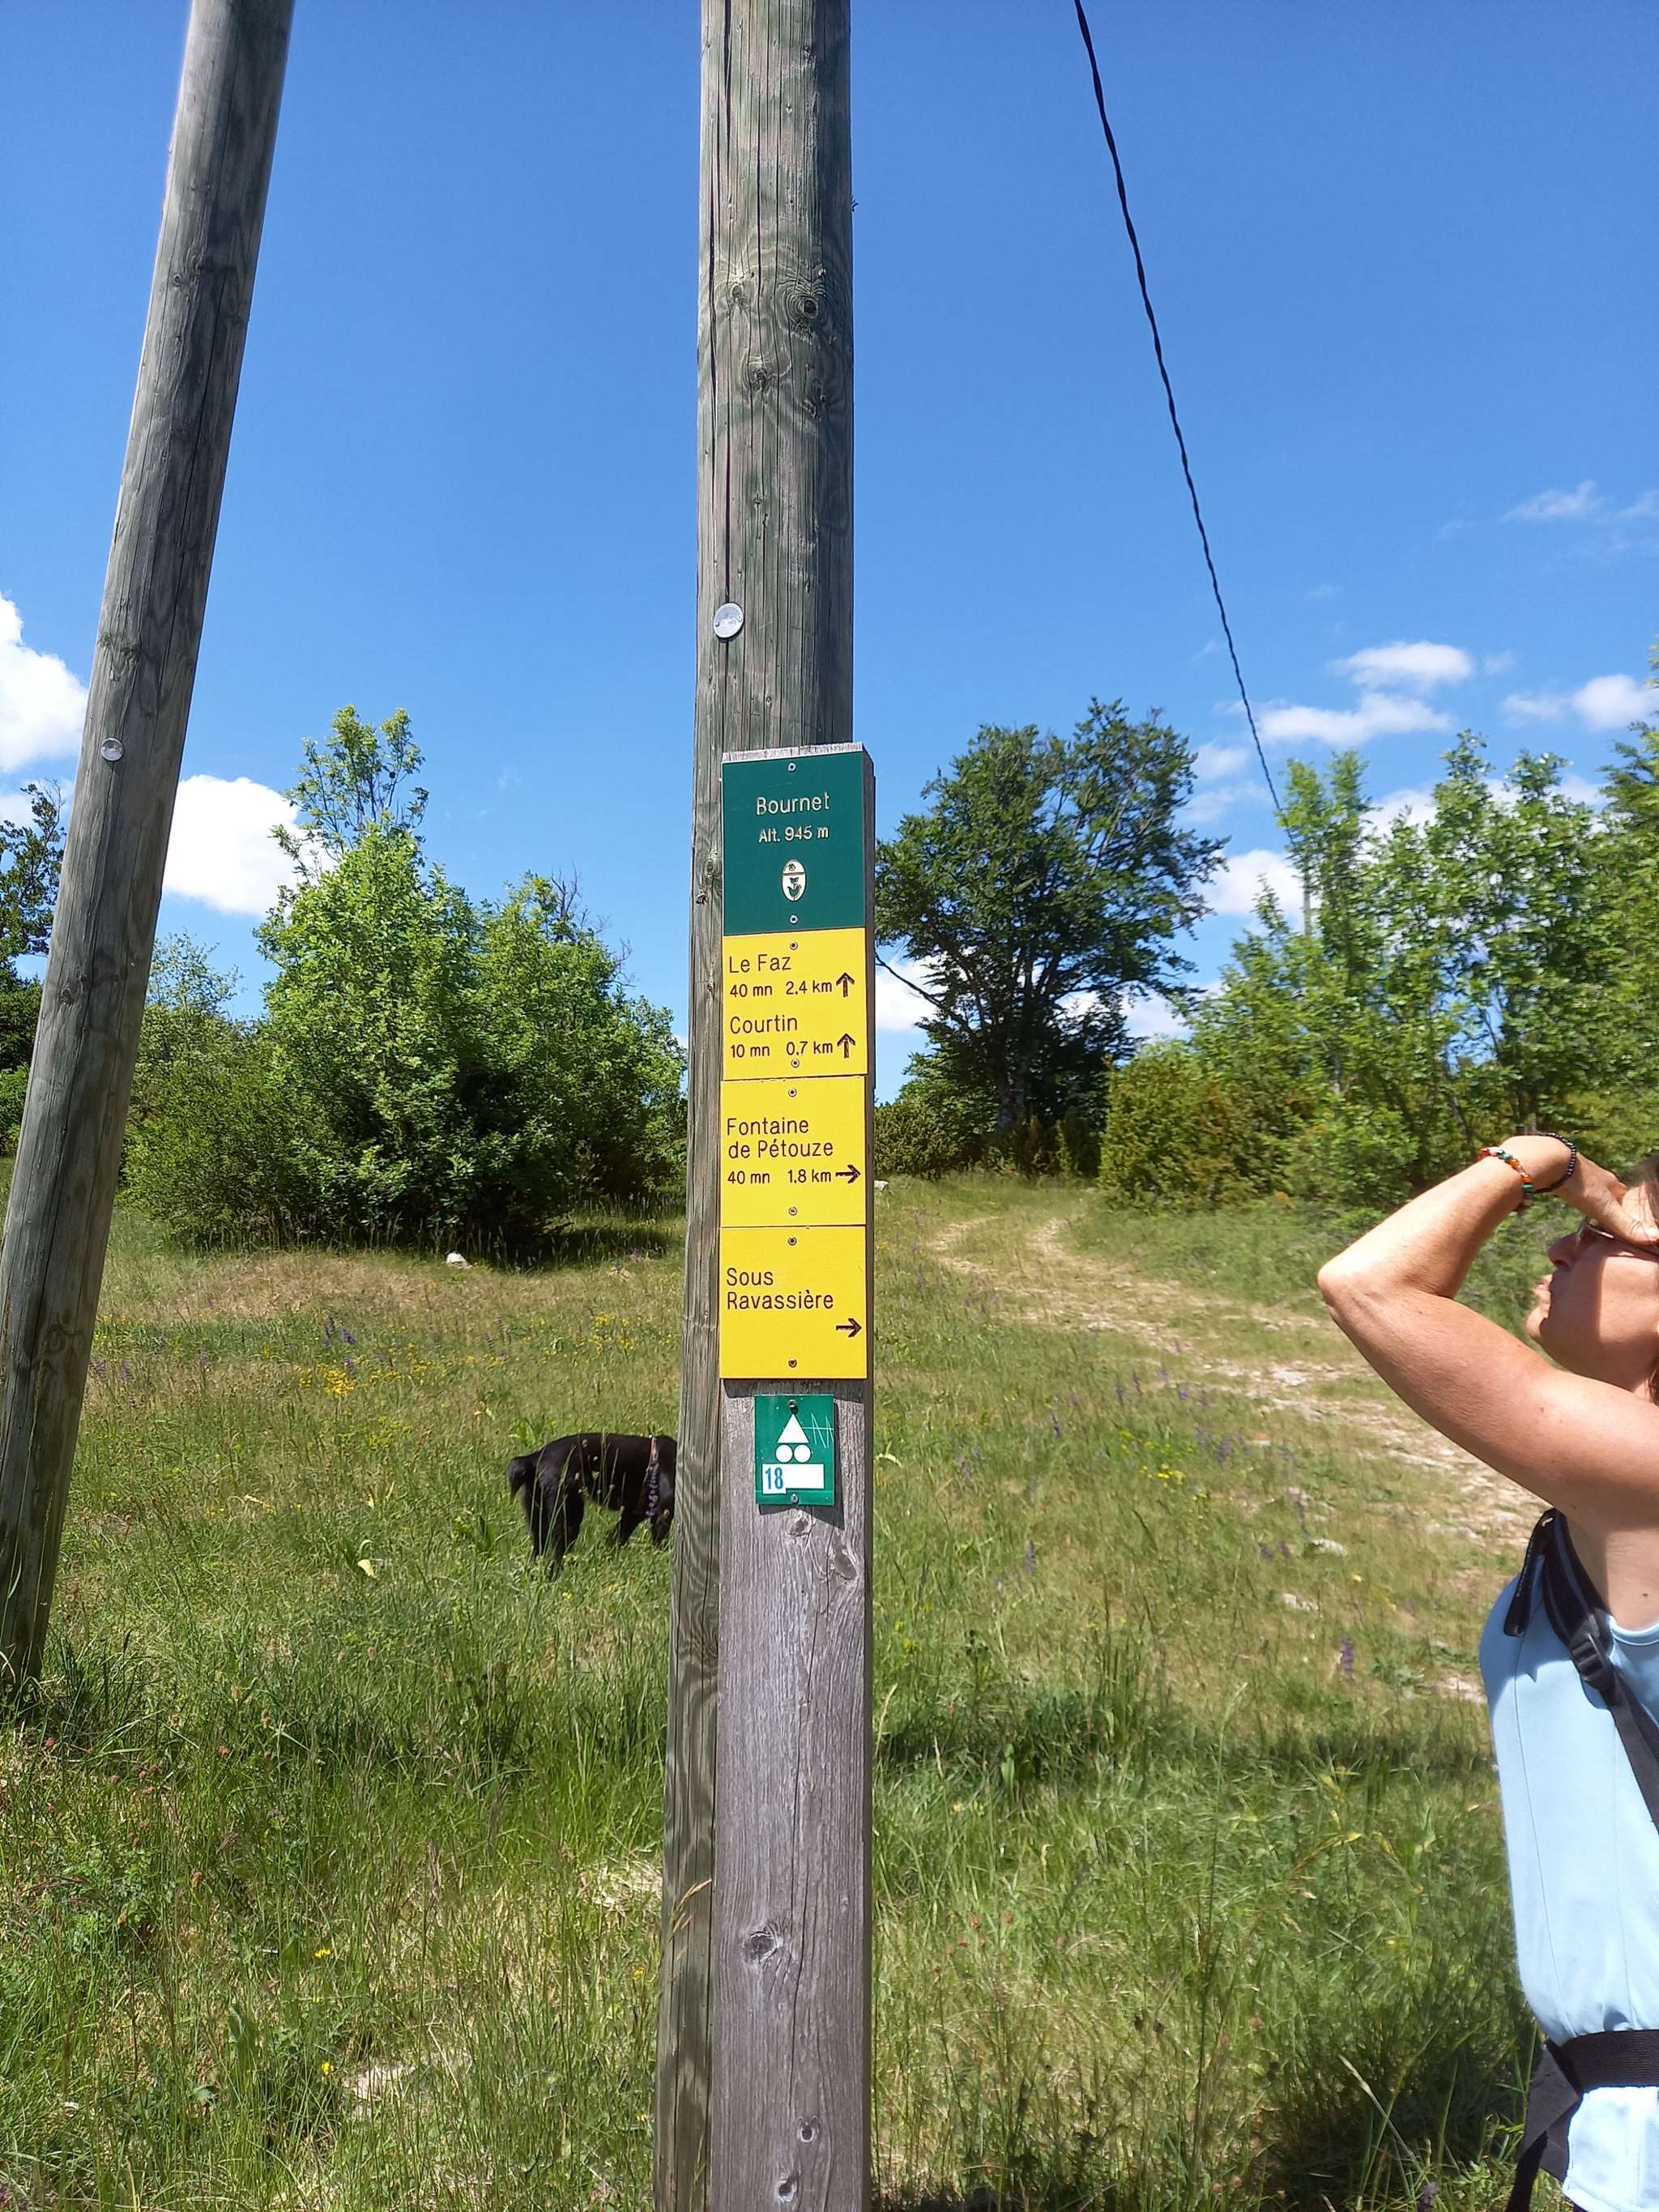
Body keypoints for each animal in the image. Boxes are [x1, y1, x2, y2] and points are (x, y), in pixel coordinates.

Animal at [507, 1432, 675, 1573]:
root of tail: (535, 1457)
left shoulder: (632, 1515)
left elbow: (614, 1538)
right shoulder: (662, 1516)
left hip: (538, 1518)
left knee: (538, 1552)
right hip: (568, 1516)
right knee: (556, 1558)